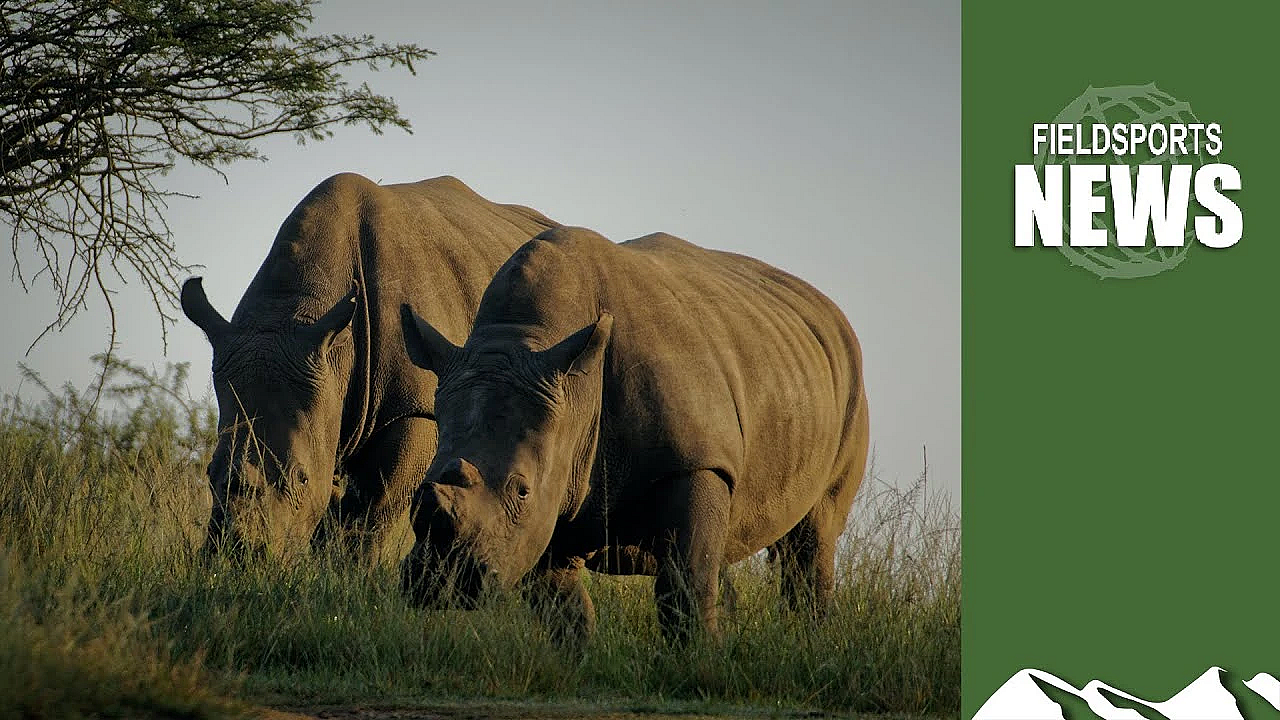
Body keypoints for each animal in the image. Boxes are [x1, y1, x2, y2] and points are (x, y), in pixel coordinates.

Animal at [181, 173, 558, 561]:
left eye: (301, 477)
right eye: (208, 472)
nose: (236, 556)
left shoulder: (413, 407)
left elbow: (372, 510)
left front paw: (346, 568)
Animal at [401, 226, 869, 644]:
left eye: (521, 490)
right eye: (418, 493)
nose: (443, 583)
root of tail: (826, 307)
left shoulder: (694, 462)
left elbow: (683, 585)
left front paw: (698, 664)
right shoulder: (555, 487)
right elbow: (561, 607)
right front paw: (576, 661)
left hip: (849, 384)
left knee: (812, 537)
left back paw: (810, 642)